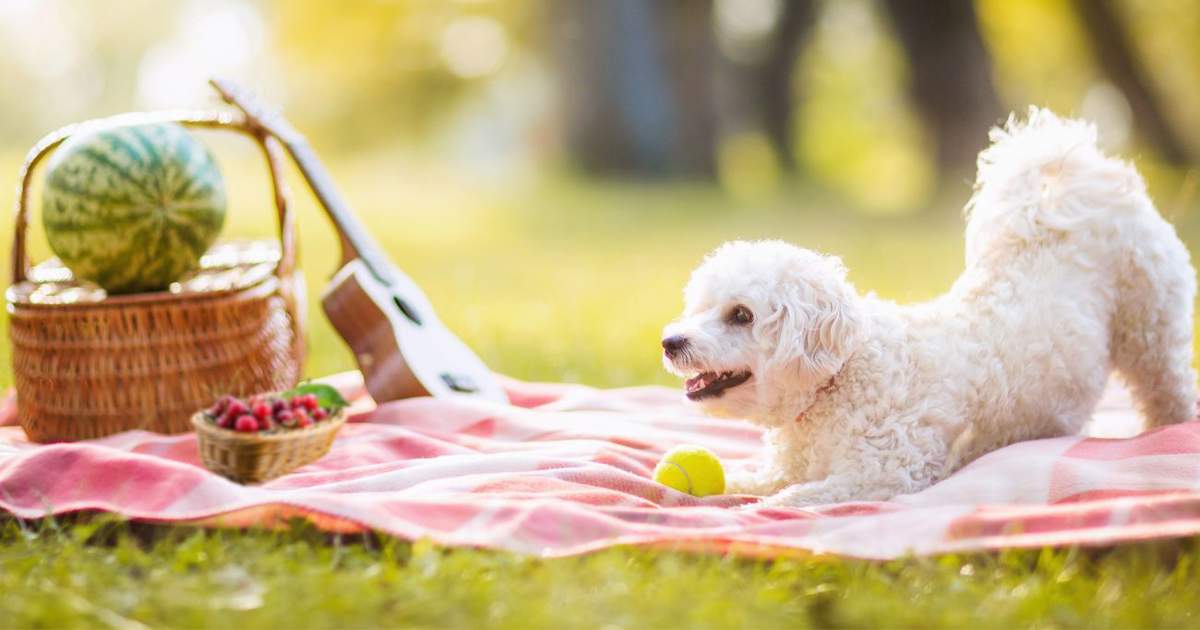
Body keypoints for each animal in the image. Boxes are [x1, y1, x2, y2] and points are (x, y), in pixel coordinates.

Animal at [662, 109, 1195, 506]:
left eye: (741, 315)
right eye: (700, 307)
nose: (670, 341)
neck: (841, 376)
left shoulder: (886, 473)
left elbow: (797, 496)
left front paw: (756, 510)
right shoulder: (790, 463)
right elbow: (749, 478)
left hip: (1152, 329)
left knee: (1168, 389)